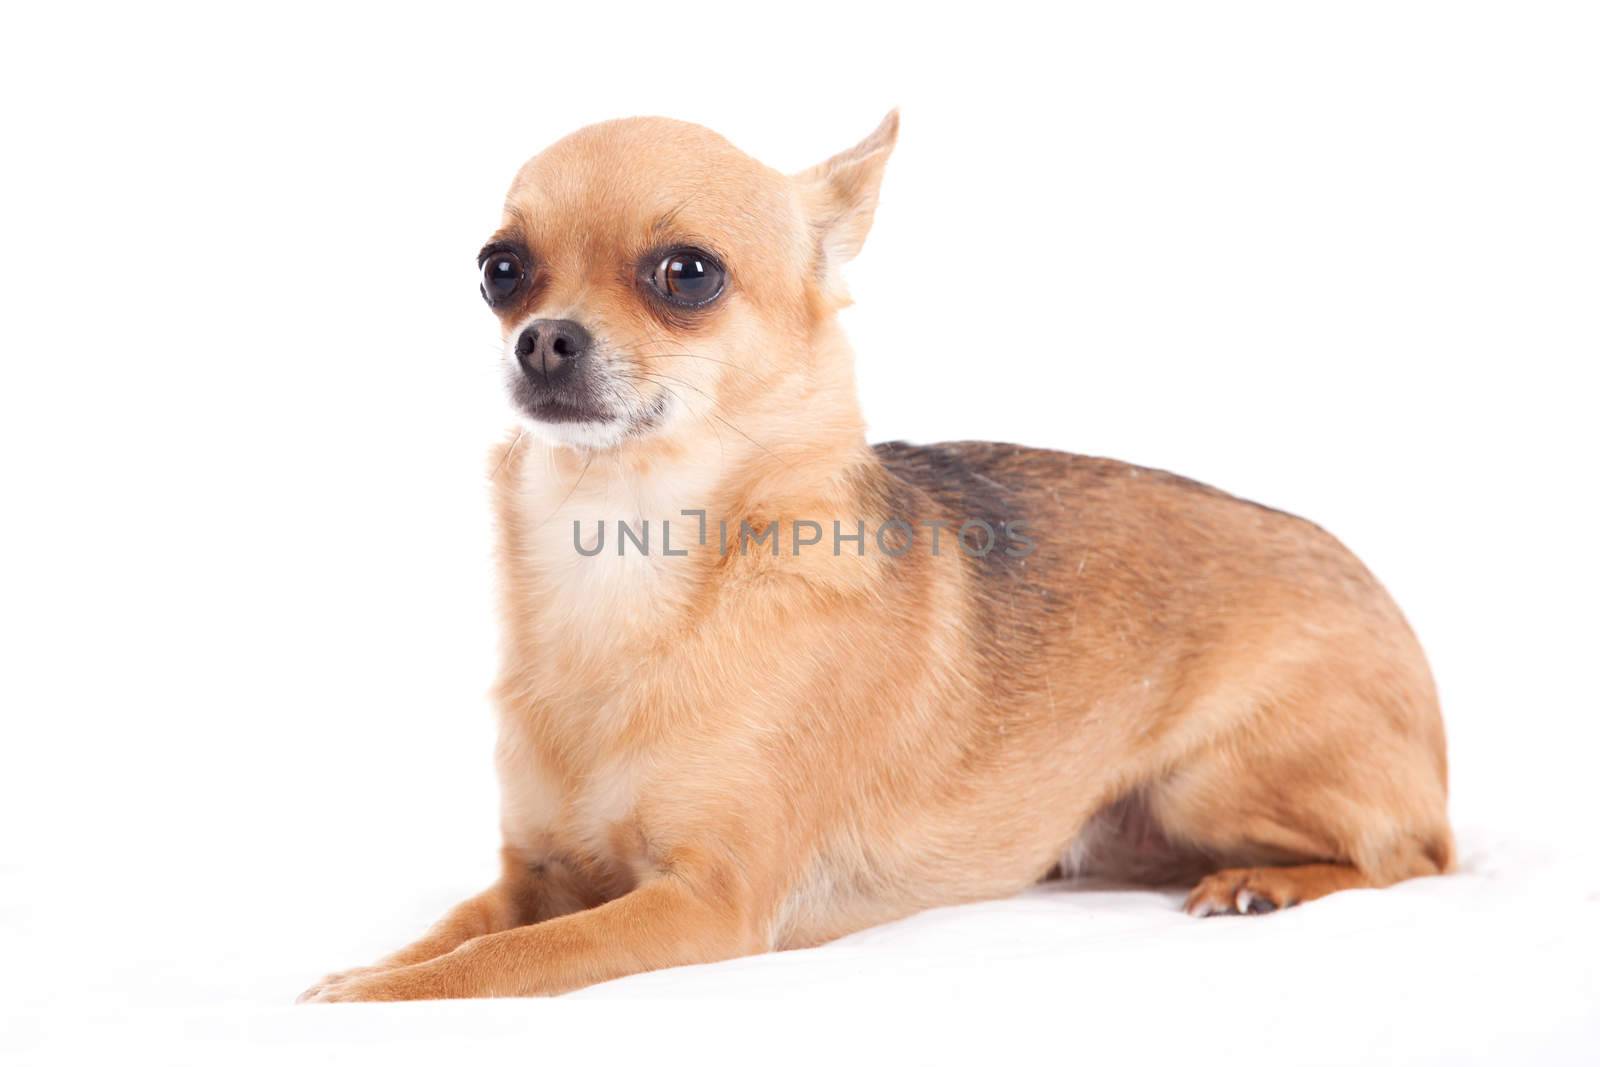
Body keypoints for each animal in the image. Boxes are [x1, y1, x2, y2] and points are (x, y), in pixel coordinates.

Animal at [297, 112, 1452, 998]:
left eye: (687, 274)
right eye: (500, 271)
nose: (539, 336)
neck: (621, 560)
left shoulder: (707, 904)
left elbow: (507, 956)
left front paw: (374, 999)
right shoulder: (534, 870)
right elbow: (459, 927)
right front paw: (365, 967)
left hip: (1211, 780)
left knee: (1416, 854)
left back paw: (1267, 883)